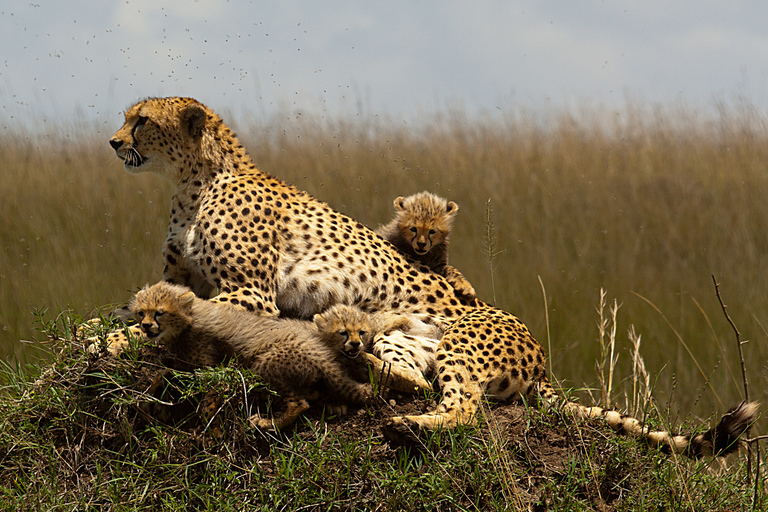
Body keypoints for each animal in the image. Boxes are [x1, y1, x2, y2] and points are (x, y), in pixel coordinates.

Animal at [105, 96, 760, 456]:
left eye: (141, 121)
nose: (112, 142)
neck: (192, 181)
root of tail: (543, 360)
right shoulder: (189, 283)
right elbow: (145, 304)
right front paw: (117, 330)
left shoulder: (249, 293)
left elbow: (146, 322)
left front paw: (110, 339)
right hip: (408, 339)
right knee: (409, 378)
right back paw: (358, 366)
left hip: (458, 340)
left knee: (459, 405)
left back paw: (405, 423)